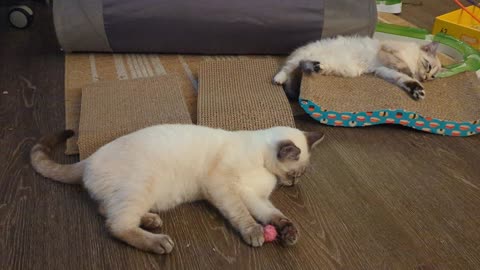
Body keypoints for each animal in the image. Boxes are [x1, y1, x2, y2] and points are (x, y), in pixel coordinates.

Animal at [31, 125, 326, 255]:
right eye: (294, 174)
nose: (293, 184)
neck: (262, 162)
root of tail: (89, 159)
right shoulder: (224, 187)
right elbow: (243, 215)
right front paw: (256, 233)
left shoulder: (254, 197)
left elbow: (273, 215)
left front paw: (288, 233)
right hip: (143, 185)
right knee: (116, 225)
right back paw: (159, 242)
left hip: (135, 195)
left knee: (107, 210)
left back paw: (151, 220)